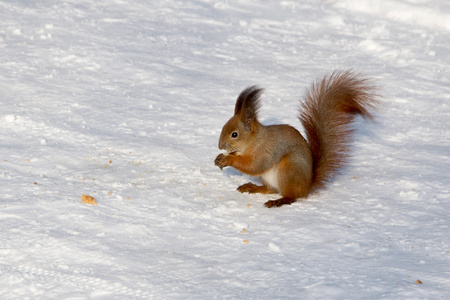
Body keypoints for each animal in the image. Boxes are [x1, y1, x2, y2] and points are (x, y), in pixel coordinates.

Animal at [216, 69, 378, 207]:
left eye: (234, 134)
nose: (220, 146)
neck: (253, 141)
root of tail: (307, 186)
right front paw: (219, 158)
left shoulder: (266, 151)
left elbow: (254, 165)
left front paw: (228, 159)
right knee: (271, 189)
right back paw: (253, 187)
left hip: (289, 168)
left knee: (292, 195)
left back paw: (278, 201)